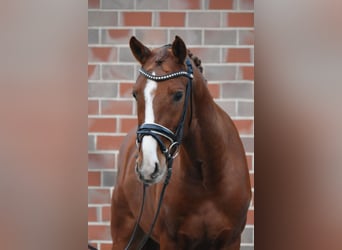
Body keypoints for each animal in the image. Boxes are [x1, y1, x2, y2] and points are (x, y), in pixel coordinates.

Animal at [111, 35, 250, 250]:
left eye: (178, 95)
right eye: (135, 94)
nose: (147, 166)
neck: (207, 179)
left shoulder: (231, 240)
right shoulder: (171, 241)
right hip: (124, 236)